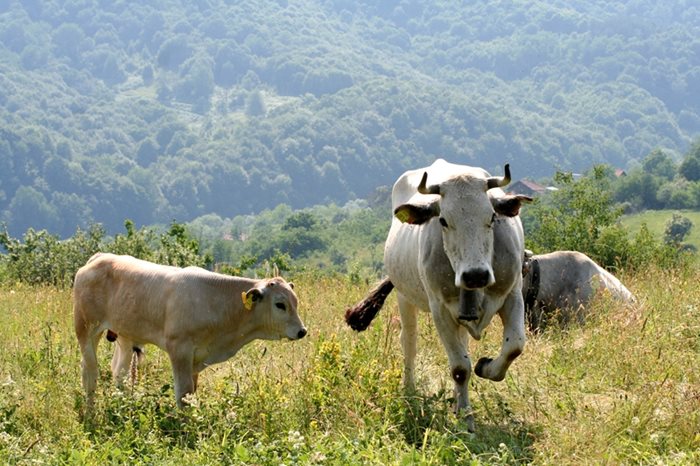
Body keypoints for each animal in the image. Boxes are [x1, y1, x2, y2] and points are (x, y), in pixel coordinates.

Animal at [72, 253, 308, 410]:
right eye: (280, 304)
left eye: (295, 302)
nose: (302, 331)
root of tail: (98, 258)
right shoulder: (179, 350)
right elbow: (183, 394)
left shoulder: (198, 356)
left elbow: (192, 392)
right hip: (86, 328)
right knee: (89, 371)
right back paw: (90, 409)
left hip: (125, 336)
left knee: (118, 371)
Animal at [344, 159, 532, 430]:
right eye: (443, 220)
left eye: (492, 217)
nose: (475, 275)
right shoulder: (440, 309)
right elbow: (460, 368)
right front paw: (466, 421)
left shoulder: (512, 295)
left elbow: (514, 346)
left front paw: (485, 368)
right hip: (404, 297)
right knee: (409, 342)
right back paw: (411, 390)